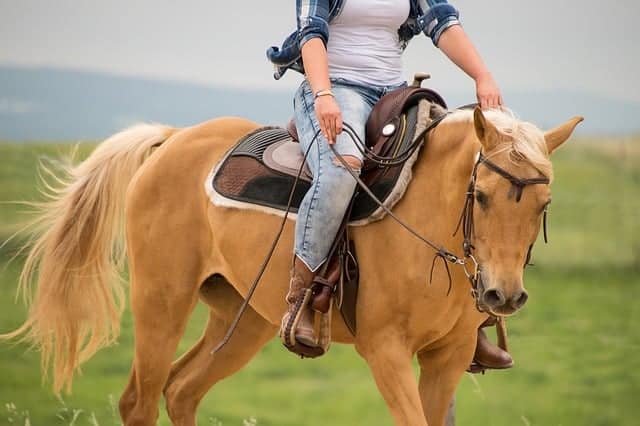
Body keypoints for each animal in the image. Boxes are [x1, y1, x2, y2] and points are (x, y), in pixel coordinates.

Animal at [3, 105, 582, 426]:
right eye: (481, 196)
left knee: (181, 390)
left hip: (243, 319)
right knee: (138, 403)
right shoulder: (386, 350)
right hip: (160, 302)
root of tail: (173, 139)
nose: (503, 296)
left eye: (543, 205)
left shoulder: (448, 356)